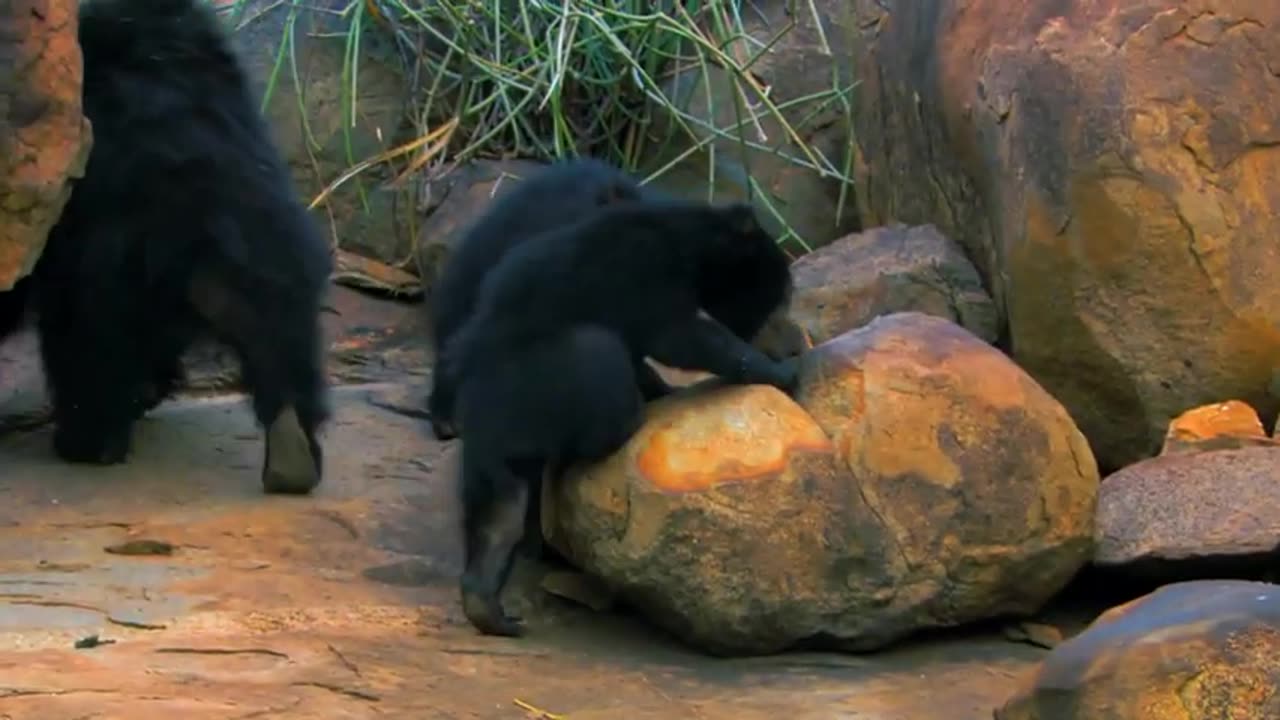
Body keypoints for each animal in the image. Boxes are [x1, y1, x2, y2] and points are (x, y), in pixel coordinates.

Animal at [0, 0, 335, 489]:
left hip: (106, 267)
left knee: (86, 344)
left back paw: (88, 442)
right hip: (266, 248)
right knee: (274, 325)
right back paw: (292, 452)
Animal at [445, 196, 793, 632]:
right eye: (773, 296)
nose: (785, 335)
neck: (690, 241)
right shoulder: (643, 272)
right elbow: (678, 336)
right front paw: (779, 371)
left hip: (499, 440)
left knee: (500, 509)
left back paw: (486, 603)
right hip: (548, 374)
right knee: (599, 358)